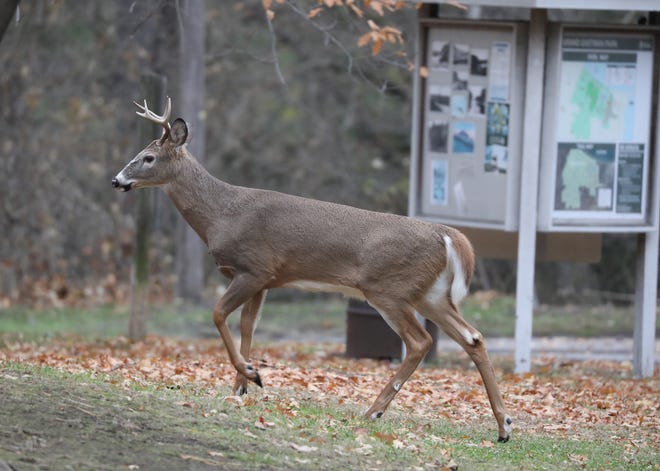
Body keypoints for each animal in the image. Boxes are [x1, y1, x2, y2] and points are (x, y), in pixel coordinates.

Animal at [111, 97, 512, 444]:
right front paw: (241, 385)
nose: (117, 180)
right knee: (473, 337)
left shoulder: (254, 267)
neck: (221, 215)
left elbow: (218, 314)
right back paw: (504, 425)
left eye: (147, 157)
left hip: (389, 289)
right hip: (431, 294)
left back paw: (373, 411)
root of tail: (448, 235)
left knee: (421, 342)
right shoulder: (265, 280)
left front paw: (251, 375)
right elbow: (247, 327)